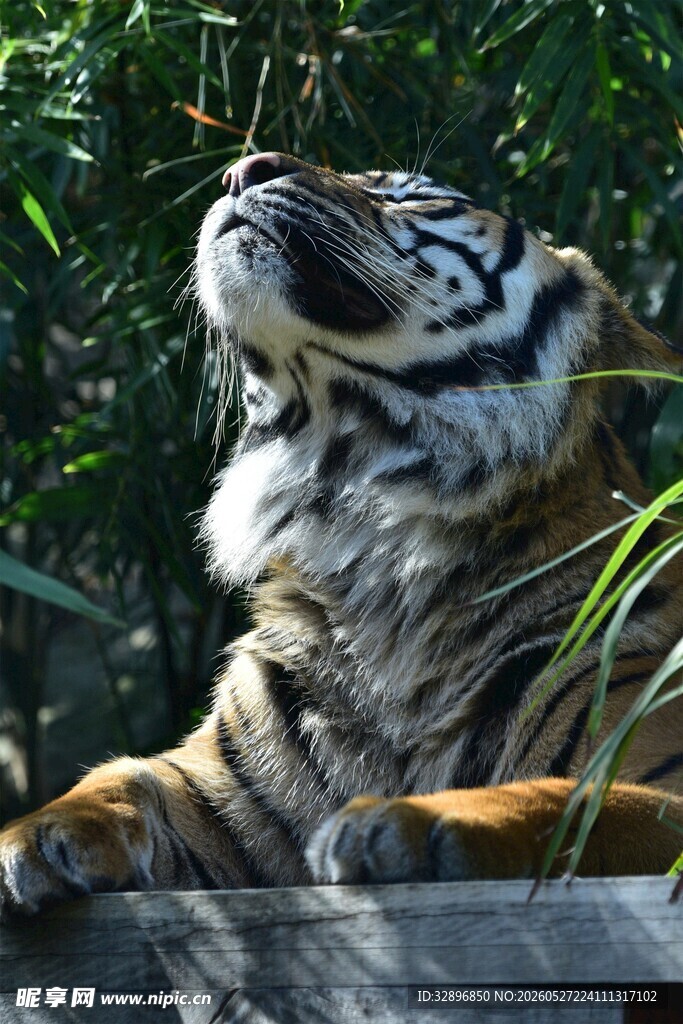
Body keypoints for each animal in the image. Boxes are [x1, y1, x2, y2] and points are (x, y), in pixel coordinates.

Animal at [1, 152, 682, 918]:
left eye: (412, 197)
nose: (243, 167)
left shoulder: (660, 782)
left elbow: (569, 800)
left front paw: (410, 819)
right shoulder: (222, 784)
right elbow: (125, 775)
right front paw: (38, 832)